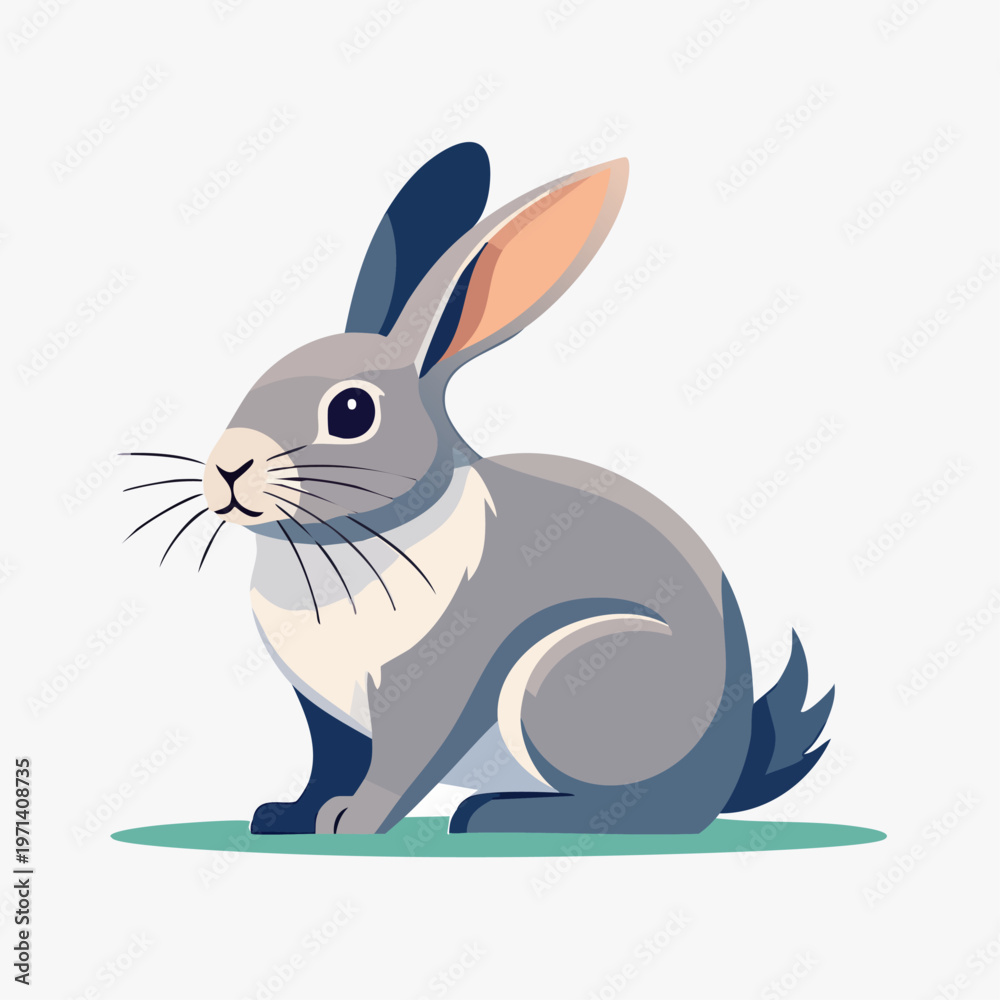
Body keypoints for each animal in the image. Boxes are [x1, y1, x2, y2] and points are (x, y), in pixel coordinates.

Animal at [127, 142, 833, 835]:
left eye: (352, 411)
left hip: (566, 676)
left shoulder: (430, 686)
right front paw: (287, 818)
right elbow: (328, 765)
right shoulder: (326, 718)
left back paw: (496, 816)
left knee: (647, 812)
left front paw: (352, 824)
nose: (227, 470)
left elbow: (399, 767)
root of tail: (726, 771)